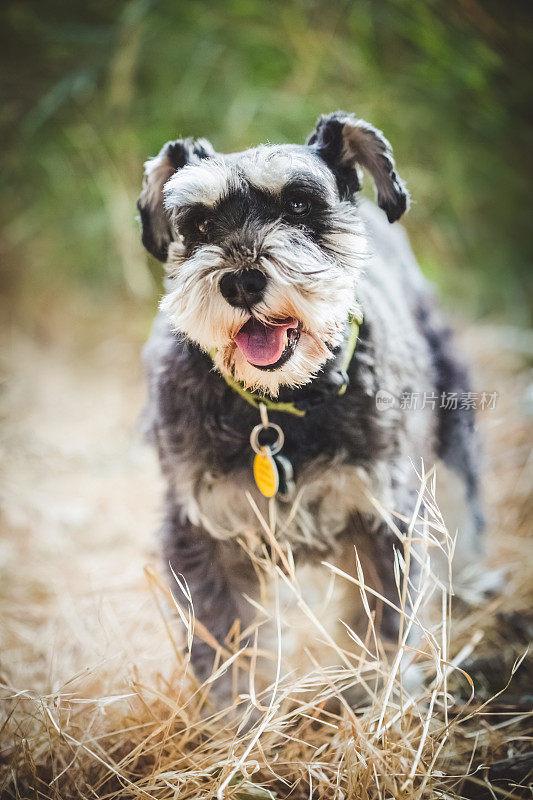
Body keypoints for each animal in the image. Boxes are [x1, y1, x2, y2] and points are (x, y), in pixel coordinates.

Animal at [136, 112, 482, 708]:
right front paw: (238, 720)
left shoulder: (384, 517)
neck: (279, 407)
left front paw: (372, 703)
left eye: (298, 203)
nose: (241, 281)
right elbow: (226, 647)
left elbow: (381, 629)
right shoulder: (204, 533)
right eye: (197, 222)